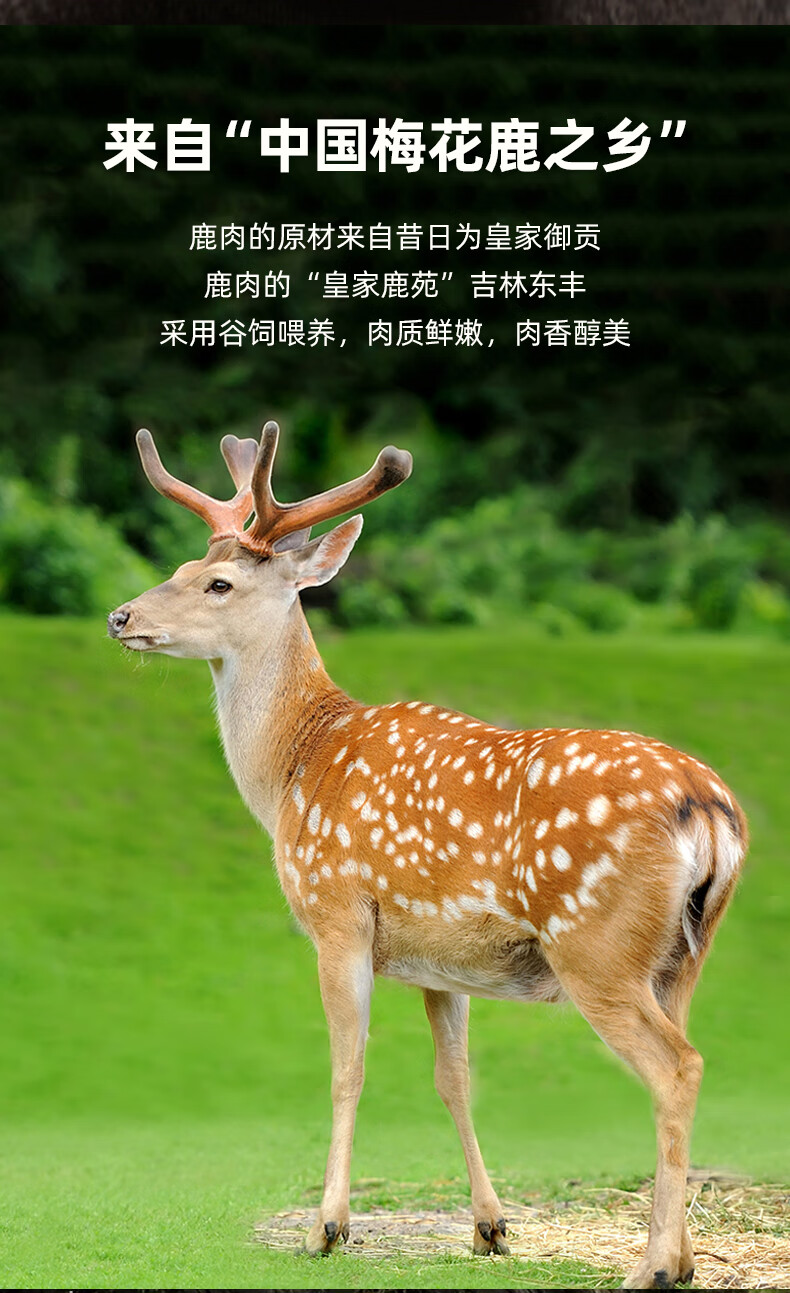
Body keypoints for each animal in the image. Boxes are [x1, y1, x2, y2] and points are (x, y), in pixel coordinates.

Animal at [107, 419, 747, 1289]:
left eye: (218, 584)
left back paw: (651, 1265)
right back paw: (678, 1257)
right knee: (679, 1058)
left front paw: (328, 1227)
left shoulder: (338, 911)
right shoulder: (441, 958)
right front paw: (489, 1226)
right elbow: (454, 1079)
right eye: (179, 567)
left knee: (678, 1067)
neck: (295, 767)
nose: (120, 615)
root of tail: (710, 810)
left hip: (597, 943)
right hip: (681, 954)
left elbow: (347, 1067)